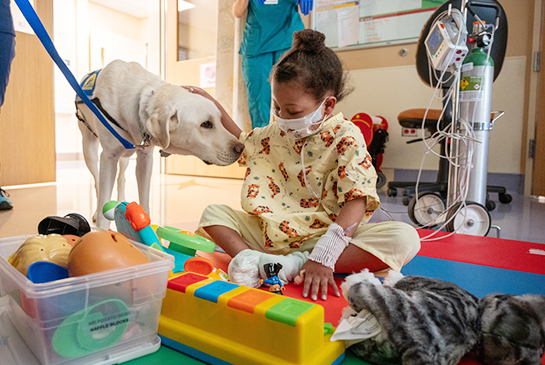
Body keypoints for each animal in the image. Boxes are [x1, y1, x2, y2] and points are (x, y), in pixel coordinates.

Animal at [75, 60, 243, 229]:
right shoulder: (109, 156)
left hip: (125, 157)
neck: (139, 103)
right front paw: (102, 229)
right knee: (97, 181)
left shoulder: (145, 158)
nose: (241, 148)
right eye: (206, 124)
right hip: (89, 150)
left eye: (220, 120)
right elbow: (103, 199)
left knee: (121, 178)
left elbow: (144, 200)